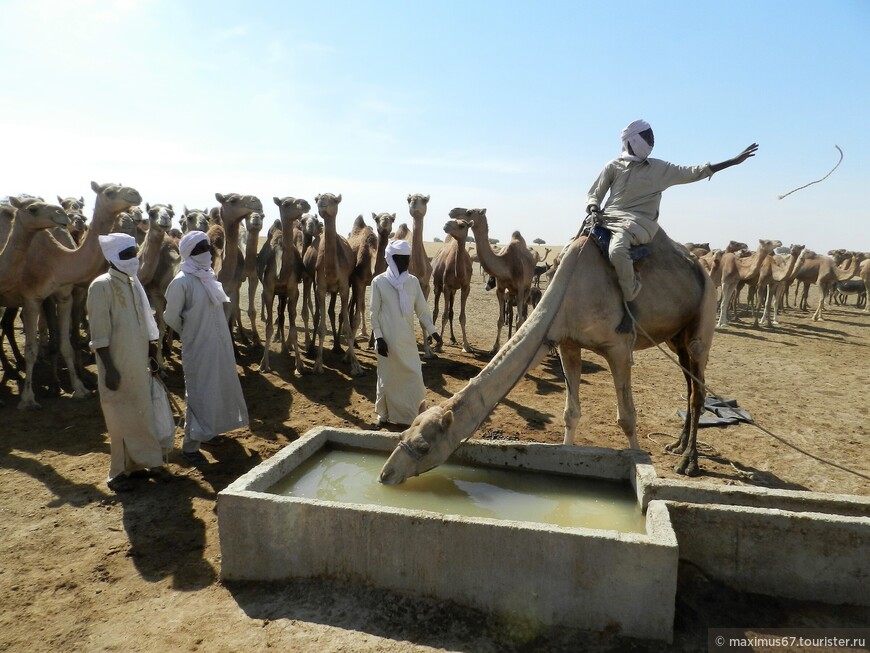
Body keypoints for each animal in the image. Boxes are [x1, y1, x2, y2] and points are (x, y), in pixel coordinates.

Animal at [0, 181, 141, 408]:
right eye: (109, 192)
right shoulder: (33, 298)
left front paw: (80, 388)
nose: (135, 193)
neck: (58, 260)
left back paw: (16, 366)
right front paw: (31, 397)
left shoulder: (65, 295)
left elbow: (65, 343)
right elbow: (35, 348)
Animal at [314, 192, 364, 376]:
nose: (321, 203)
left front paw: (355, 366)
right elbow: (321, 328)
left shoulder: (344, 288)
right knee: (331, 312)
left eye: (334, 200)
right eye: (317, 199)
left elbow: (348, 328)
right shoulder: (320, 288)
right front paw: (318, 364)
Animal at [430, 218, 474, 352]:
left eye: (462, 225)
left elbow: (462, 317)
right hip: (437, 285)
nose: (446, 225)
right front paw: (439, 344)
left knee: (451, 312)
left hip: (453, 291)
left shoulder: (466, 287)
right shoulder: (446, 286)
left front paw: (466, 346)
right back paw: (431, 339)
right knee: (436, 310)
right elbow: (443, 315)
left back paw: (453, 338)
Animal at [456, 208, 540, 352]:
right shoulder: (500, 288)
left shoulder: (520, 289)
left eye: (469, 212)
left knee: (522, 316)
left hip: (527, 288)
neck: (506, 264)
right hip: (512, 293)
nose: (452, 212)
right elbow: (500, 320)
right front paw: (495, 348)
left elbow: (520, 319)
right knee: (513, 315)